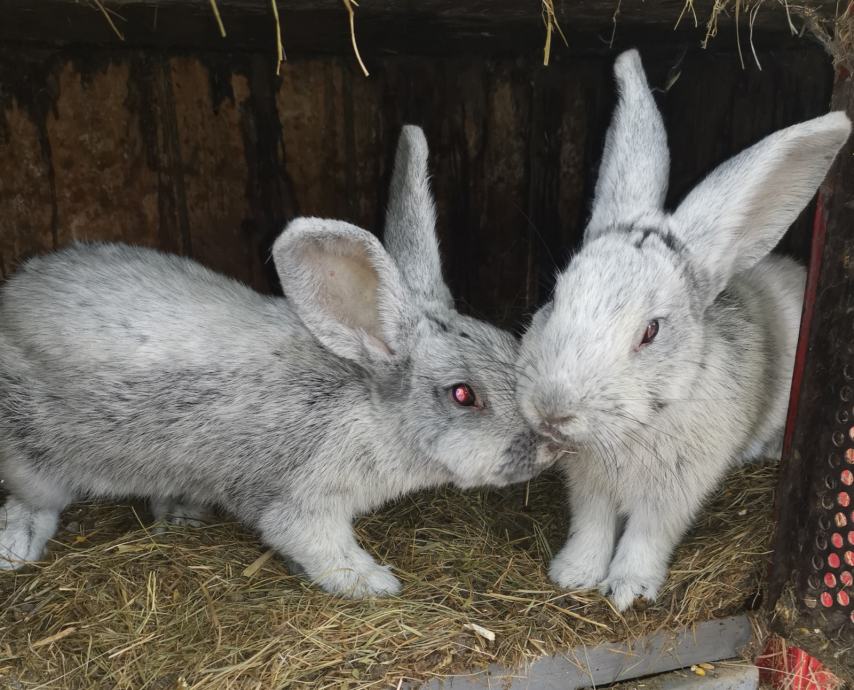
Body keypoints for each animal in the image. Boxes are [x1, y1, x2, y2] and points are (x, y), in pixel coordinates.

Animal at [0, 125, 555, 598]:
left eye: (509, 344)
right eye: (464, 394)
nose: (550, 446)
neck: (371, 406)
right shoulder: (302, 501)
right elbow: (318, 545)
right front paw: (374, 583)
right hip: (31, 453)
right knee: (34, 499)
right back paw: (17, 544)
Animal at [516, 49, 851, 611]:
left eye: (651, 331)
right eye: (556, 296)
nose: (553, 409)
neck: (637, 426)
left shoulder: (673, 492)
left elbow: (647, 535)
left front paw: (629, 590)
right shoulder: (589, 488)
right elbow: (592, 525)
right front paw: (574, 575)